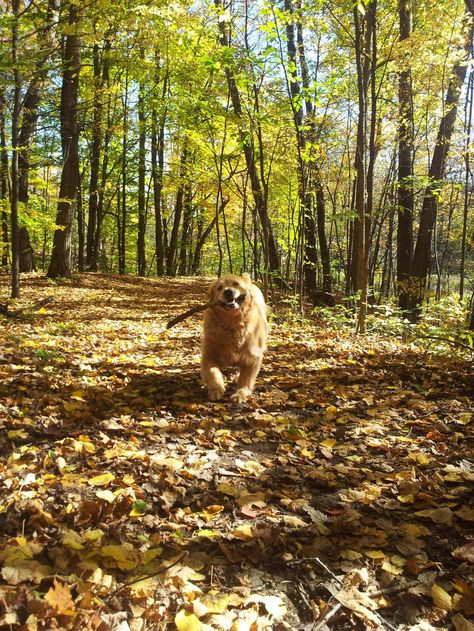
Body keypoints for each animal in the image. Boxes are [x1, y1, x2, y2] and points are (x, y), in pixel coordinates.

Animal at [200, 272, 266, 404]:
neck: (232, 323)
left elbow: (246, 380)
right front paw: (216, 389)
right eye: (219, 288)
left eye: (236, 284)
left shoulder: (253, 356)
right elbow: (213, 372)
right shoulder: (209, 354)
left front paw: (240, 394)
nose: (228, 292)